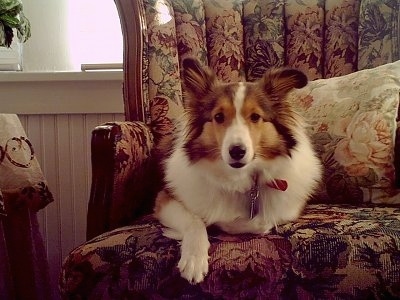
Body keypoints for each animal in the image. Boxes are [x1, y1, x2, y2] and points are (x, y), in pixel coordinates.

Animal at [153, 58, 322, 284]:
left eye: (256, 117)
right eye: (218, 116)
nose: (237, 151)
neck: (239, 179)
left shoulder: (289, 210)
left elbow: (255, 221)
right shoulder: (164, 199)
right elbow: (197, 220)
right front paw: (194, 259)